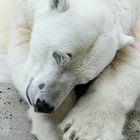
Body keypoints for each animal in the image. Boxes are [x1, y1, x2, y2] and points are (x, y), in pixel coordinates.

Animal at [0, 0, 140, 139]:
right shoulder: (19, 16)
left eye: (83, 81)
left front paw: (81, 131)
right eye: (57, 56)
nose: (44, 105)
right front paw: (55, 129)